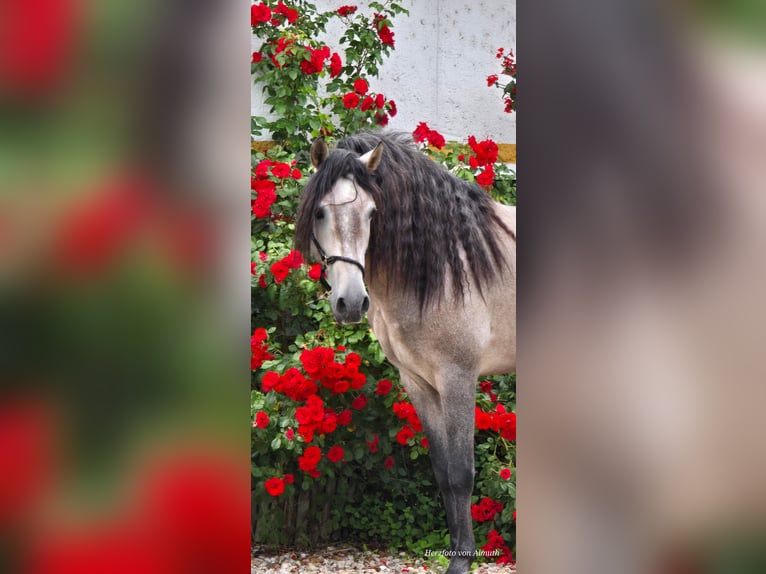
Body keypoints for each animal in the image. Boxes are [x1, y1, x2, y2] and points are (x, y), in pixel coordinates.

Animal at [296, 132, 520, 574]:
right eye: (320, 212)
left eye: (371, 213)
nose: (351, 303)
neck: (448, 266)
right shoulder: (418, 383)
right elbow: (443, 472)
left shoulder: (457, 379)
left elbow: (462, 473)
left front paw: (462, 563)